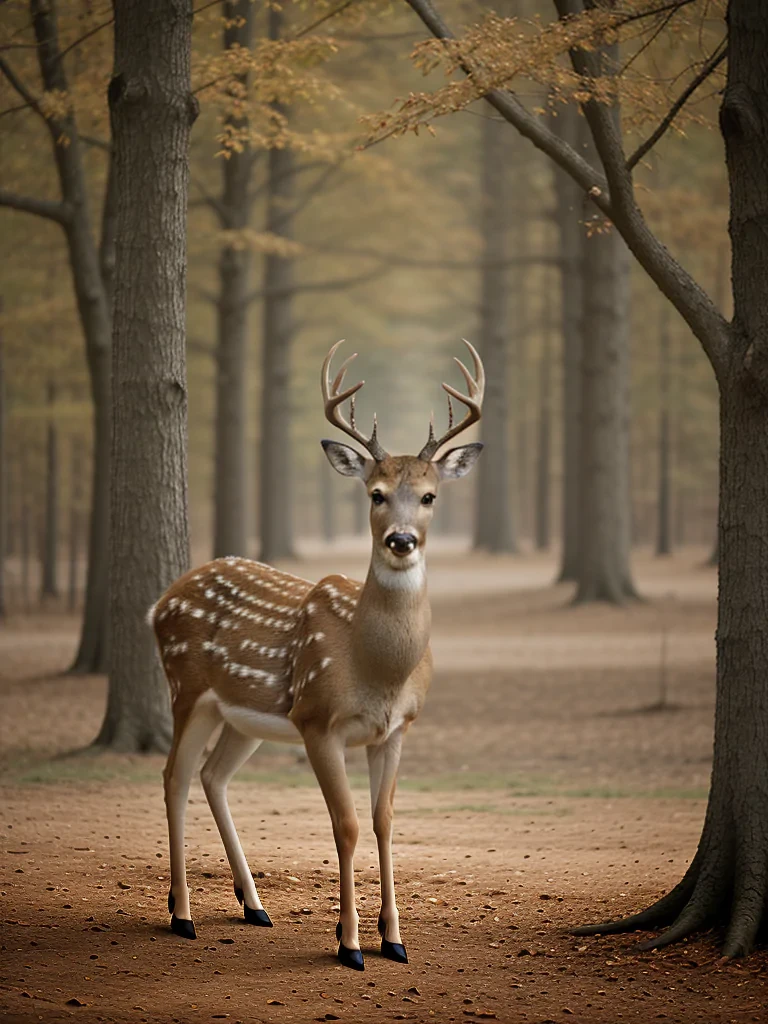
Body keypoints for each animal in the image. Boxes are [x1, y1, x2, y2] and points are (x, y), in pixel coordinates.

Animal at [150, 339, 484, 971]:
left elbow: (383, 821)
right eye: (376, 494)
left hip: (243, 717)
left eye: (429, 496)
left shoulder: (397, 729)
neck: (377, 669)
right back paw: (181, 916)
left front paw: (394, 939)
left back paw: (253, 905)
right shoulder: (317, 719)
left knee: (212, 775)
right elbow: (346, 825)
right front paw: (349, 944)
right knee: (174, 775)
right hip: (187, 687)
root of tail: (158, 603)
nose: (401, 540)